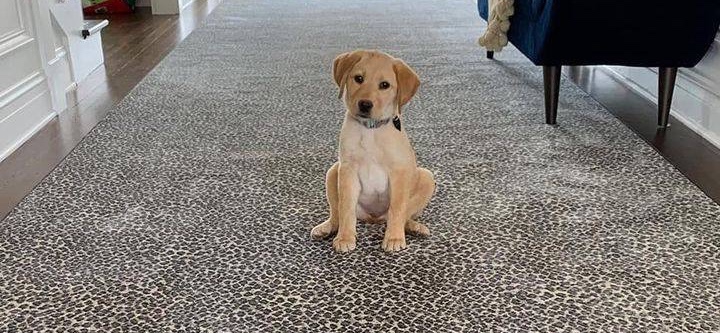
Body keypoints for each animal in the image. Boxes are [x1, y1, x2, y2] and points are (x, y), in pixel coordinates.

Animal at [308, 50, 434, 252]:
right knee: (336, 213)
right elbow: (345, 208)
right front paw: (345, 238)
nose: (365, 104)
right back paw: (326, 228)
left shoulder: (399, 171)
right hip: (333, 171)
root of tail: (373, 219)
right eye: (358, 78)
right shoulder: (348, 170)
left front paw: (394, 238)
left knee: (405, 215)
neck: (370, 130)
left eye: (385, 85)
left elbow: (398, 208)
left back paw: (414, 228)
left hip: (426, 177)